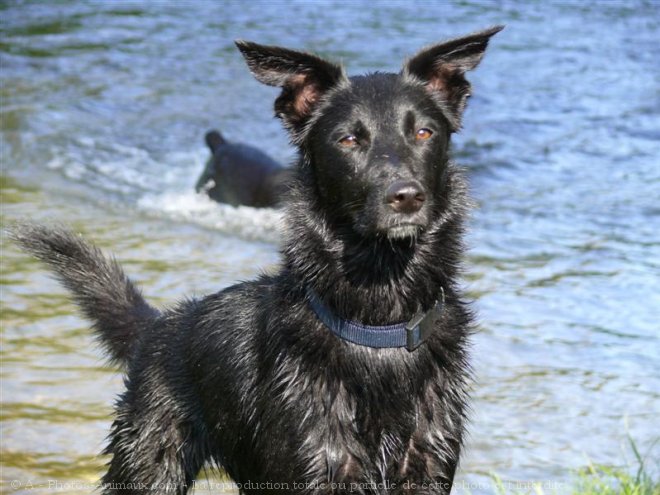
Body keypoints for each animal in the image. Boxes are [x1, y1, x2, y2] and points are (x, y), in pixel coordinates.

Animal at [11, 28, 500, 495]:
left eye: (424, 133)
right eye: (348, 139)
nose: (406, 196)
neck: (379, 326)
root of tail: (158, 326)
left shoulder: (428, 464)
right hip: (150, 467)